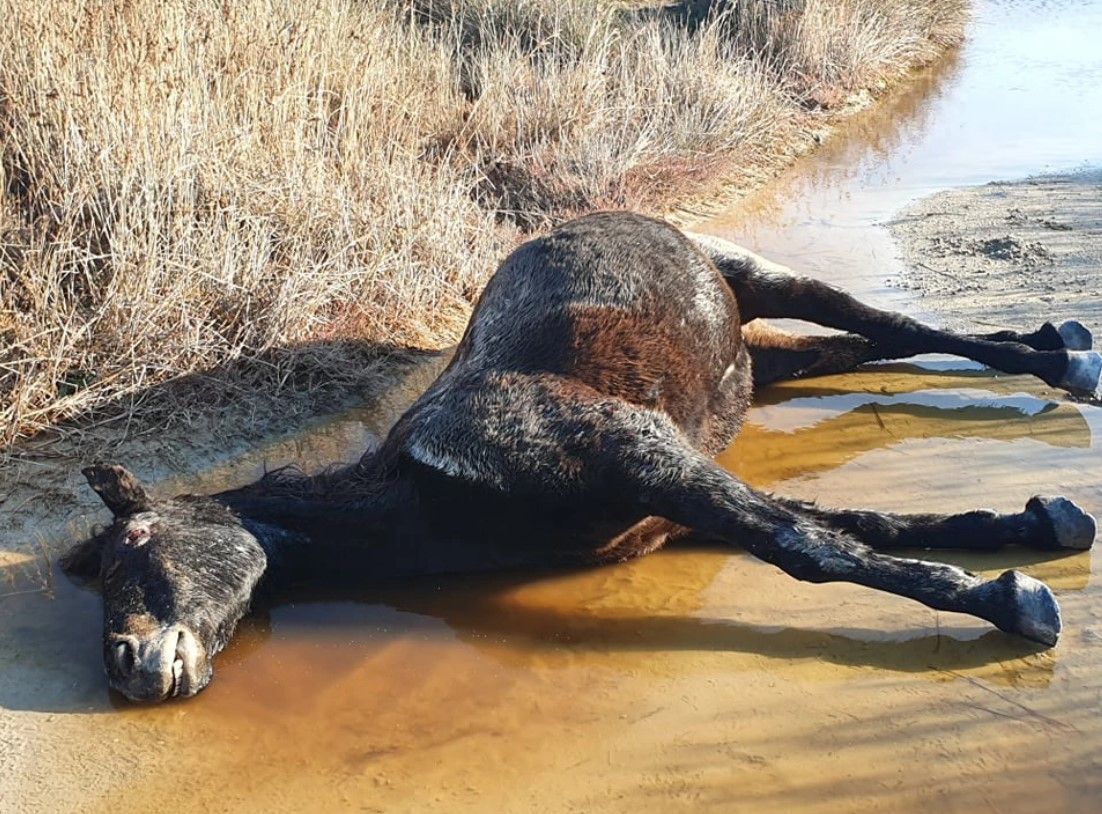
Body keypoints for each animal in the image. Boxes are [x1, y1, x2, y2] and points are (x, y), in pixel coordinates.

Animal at [60, 213, 1093, 704]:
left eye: (134, 546)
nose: (127, 664)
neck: (431, 495)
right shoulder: (666, 512)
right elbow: (846, 523)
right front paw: (1026, 529)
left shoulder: (642, 456)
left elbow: (809, 548)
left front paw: (1008, 601)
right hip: (760, 363)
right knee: (859, 347)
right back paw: (1050, 346)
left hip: (762, 279)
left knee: (890, 325)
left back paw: (1065, 356)